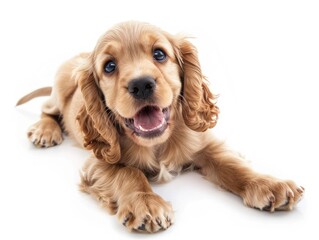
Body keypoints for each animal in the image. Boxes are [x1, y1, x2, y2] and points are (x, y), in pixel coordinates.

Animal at [16, 22, 304, 232]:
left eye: (159, 54)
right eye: (109, 66)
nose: (141, 84)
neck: (157, 142)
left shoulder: (205, 143)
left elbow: (232, 165)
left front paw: (268, 184)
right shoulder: (98, 161)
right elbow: (129, 173)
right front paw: (145, 203)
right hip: (61, 88)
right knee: (48, 110)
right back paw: (45, 131)